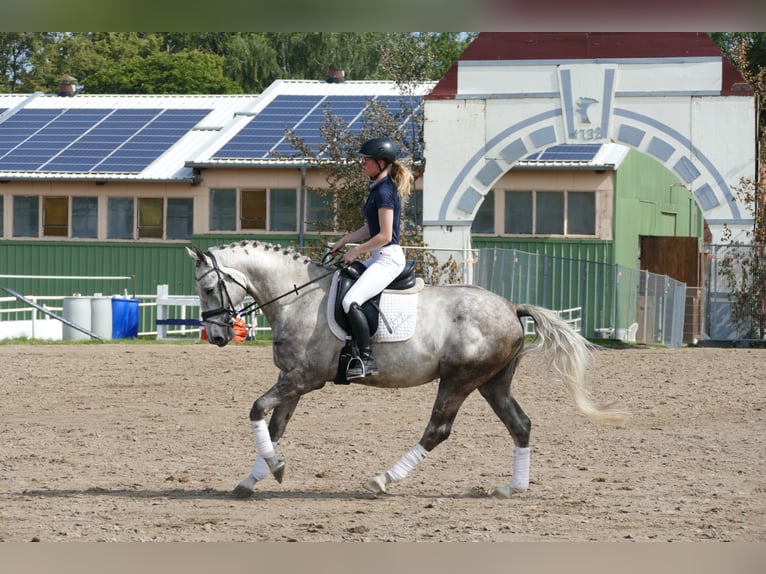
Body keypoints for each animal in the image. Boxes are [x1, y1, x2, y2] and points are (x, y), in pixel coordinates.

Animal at [186, 241, 632, 502]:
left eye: (208, 289)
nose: (218, 336)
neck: (298, 297)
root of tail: (510, 306)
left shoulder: (306, 378)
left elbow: (257, 409)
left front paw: (273, 469)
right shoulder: (292, 380)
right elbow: (275, 425)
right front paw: (253, 479)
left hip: (459, 379)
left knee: (438, 430)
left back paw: (383, 480)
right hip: (492, 383)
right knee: (520, 424)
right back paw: (512, 487)